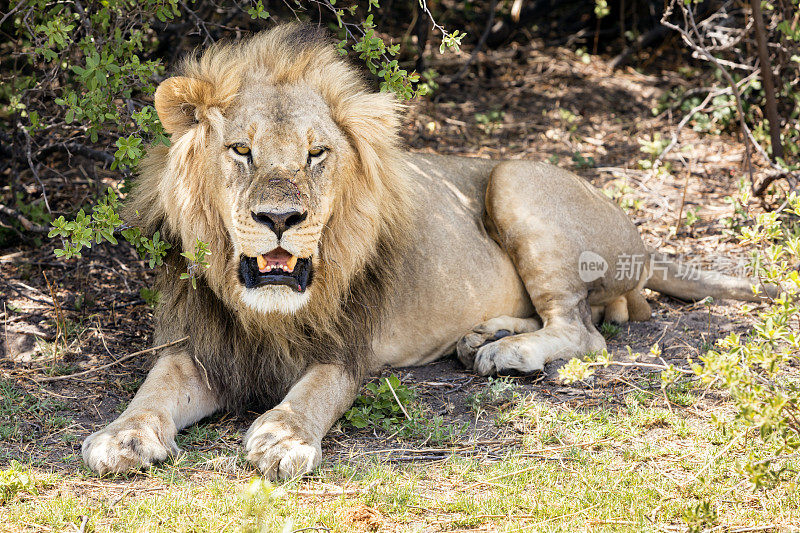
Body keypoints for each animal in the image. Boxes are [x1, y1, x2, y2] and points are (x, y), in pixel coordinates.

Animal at [83, 23, 768, 478]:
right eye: (242, 151)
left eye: (316, 153)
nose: (280, 218)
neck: (264, 311)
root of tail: (644, 242)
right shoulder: (199, 345)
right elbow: (152, 392)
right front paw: (120, 437)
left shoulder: (345, 351)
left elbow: (312, 394)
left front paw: (282, 439)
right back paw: (485, 335)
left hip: (513, 179)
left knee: (585, 331)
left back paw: (507, 353)